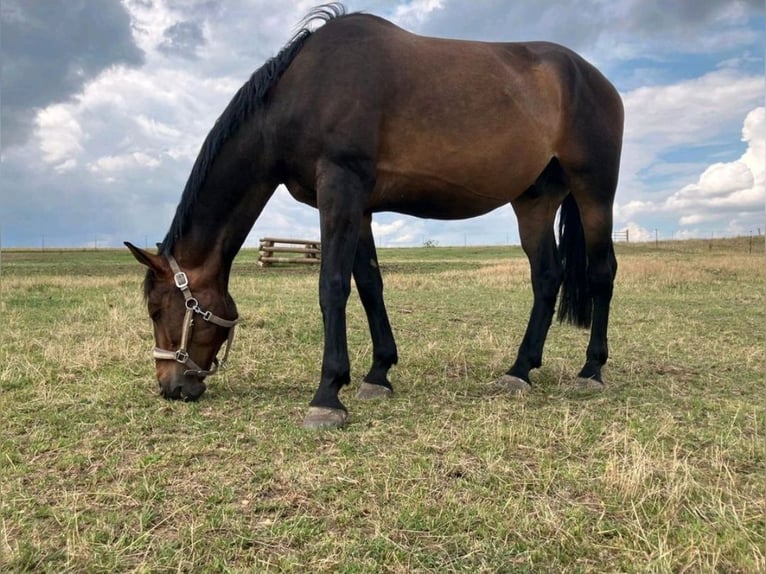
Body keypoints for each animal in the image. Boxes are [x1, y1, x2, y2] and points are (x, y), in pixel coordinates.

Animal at [125, 3, 624, 429]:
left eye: (156, 308)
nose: (171, 387)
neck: (306, 90)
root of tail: (594, 78)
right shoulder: (359, 204)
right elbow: (368, 284)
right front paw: (377, 374)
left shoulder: (340, 188)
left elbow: (332, 286)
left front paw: (327, 395)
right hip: (534, 202)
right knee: (547, 276)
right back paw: (520, 369)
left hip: (595, 192)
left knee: (602, 272)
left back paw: (591, 370)